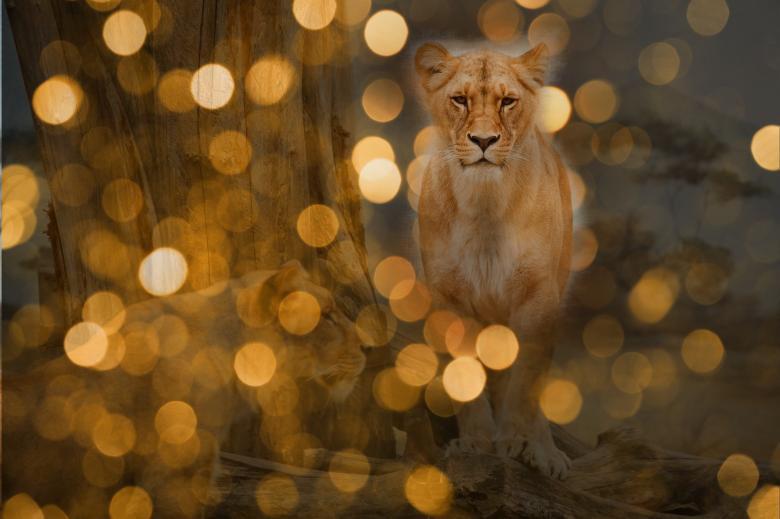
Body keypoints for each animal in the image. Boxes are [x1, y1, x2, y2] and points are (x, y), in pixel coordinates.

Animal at [414, 42, 573, 478]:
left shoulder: (538, 296)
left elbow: (525, 382)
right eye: (459, 99)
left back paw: (545, 451)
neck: (485, 204)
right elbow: (463, 376)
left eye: (507, 101)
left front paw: (516, 441)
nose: (483, 140)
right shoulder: (449, 298)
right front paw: (476, 442)